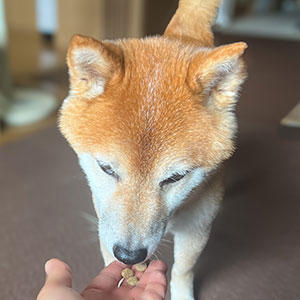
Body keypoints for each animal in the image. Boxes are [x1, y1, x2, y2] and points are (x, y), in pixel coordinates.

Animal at [58, 0, 246, 300]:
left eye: (176, 177)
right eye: (106, 168)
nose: (129, 254)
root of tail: (181, 36)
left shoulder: (197, 228)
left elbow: (183, 270)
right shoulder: (105, 221)